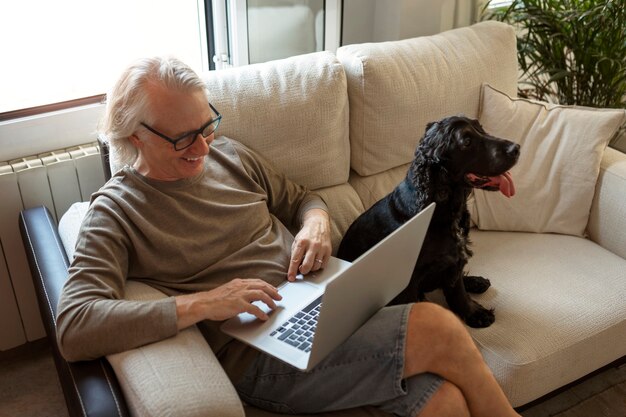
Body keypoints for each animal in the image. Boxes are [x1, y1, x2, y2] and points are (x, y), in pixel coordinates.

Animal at [336, 115, 516, 326]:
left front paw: (473, 312)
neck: (441, 211)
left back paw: (476, 281)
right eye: (466, 142)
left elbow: (458, 291)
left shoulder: (455, 258)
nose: (516, 148)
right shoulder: (410, 281)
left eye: (481, 128)